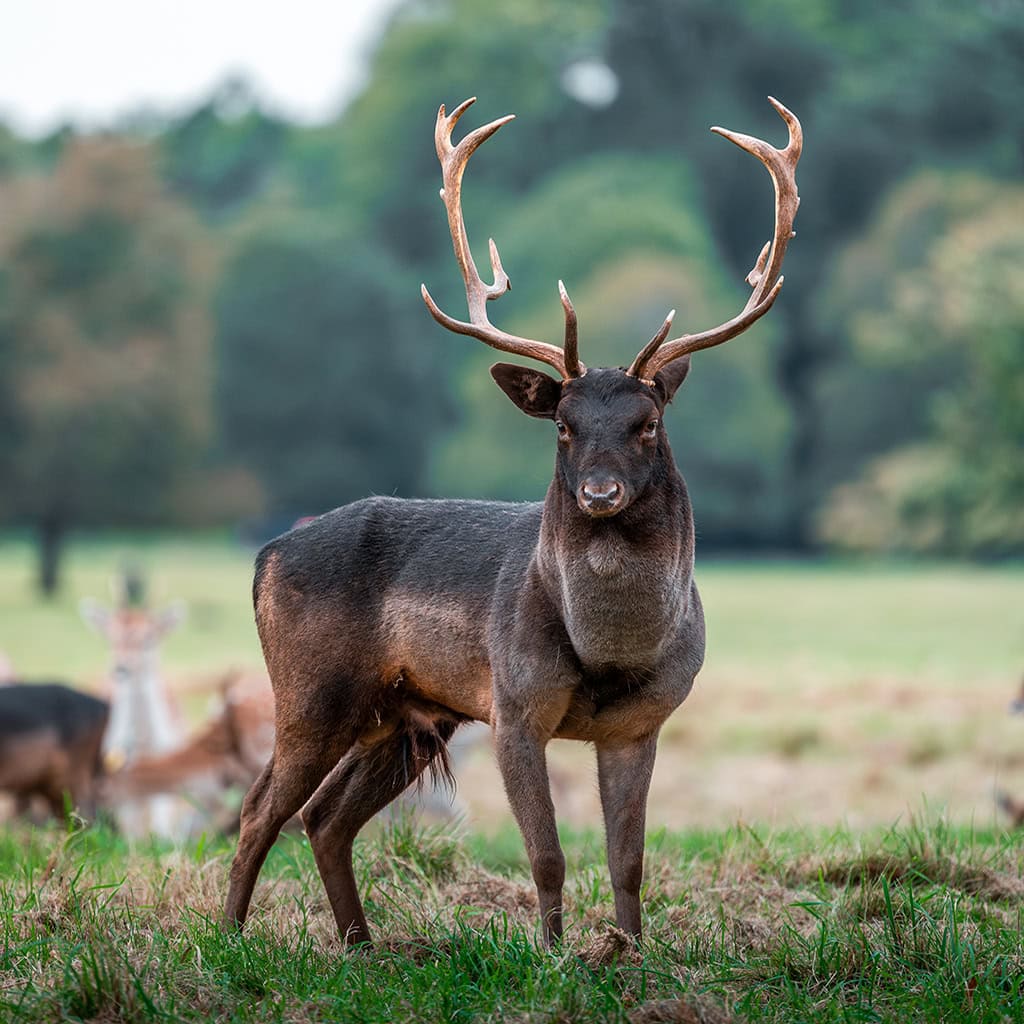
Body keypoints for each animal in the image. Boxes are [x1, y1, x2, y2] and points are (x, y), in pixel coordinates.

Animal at [225, 95, 801, 947]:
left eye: (648, 424)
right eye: (562, 423)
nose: (598, 492)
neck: (609, 652)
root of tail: (264, 556)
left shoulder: (641, 724)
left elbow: (629, 861)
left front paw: (630, 954)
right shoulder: (515, 706)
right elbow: (549, 857)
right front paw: (553, 955)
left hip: (407, 712)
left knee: (326, 817)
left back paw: (362, 947)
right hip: (312, 688)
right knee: (261, 808)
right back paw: (227, 939)